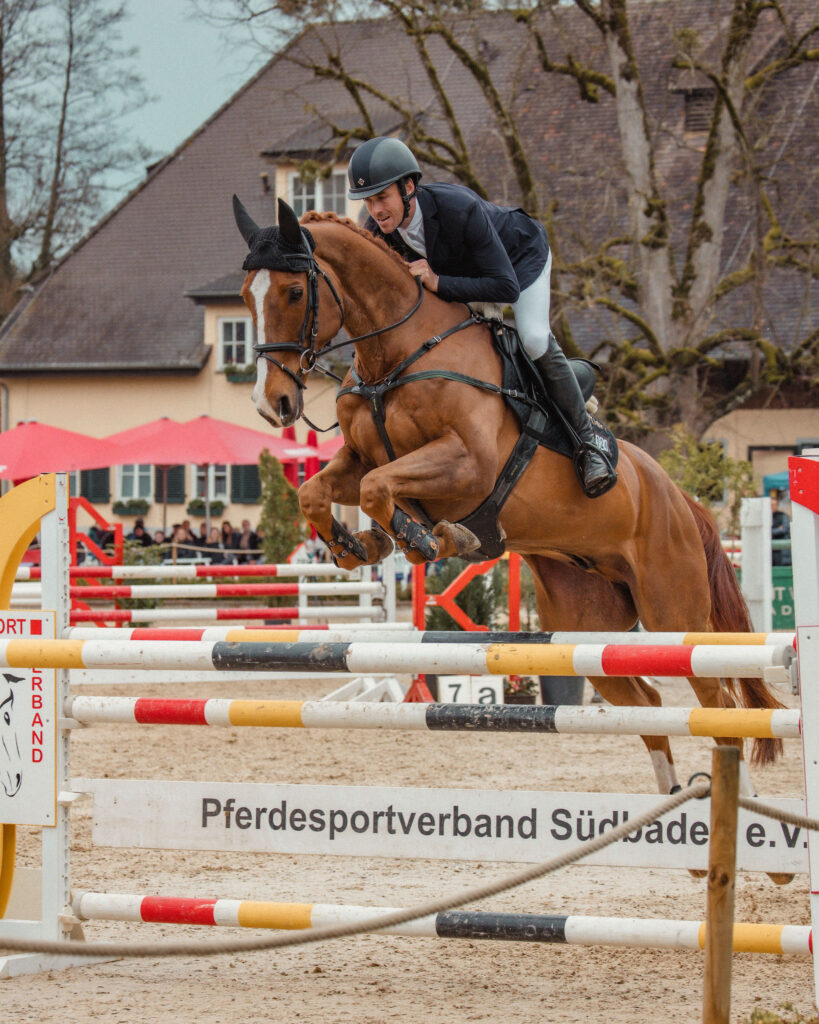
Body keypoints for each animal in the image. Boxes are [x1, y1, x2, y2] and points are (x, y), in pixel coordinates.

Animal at [233, 197, 782, 815]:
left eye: (292, 292)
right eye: (244, 296)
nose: (272, 404)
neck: (396, 356)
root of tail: (680, 498)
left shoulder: (468, 463)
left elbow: (380, 487)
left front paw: (427, 538)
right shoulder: (358, 457)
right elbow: (324, 490)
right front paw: (360, 545)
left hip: (674, 614)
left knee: (718, 704)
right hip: (585, 627)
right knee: (645, 703)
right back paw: (670, 807)